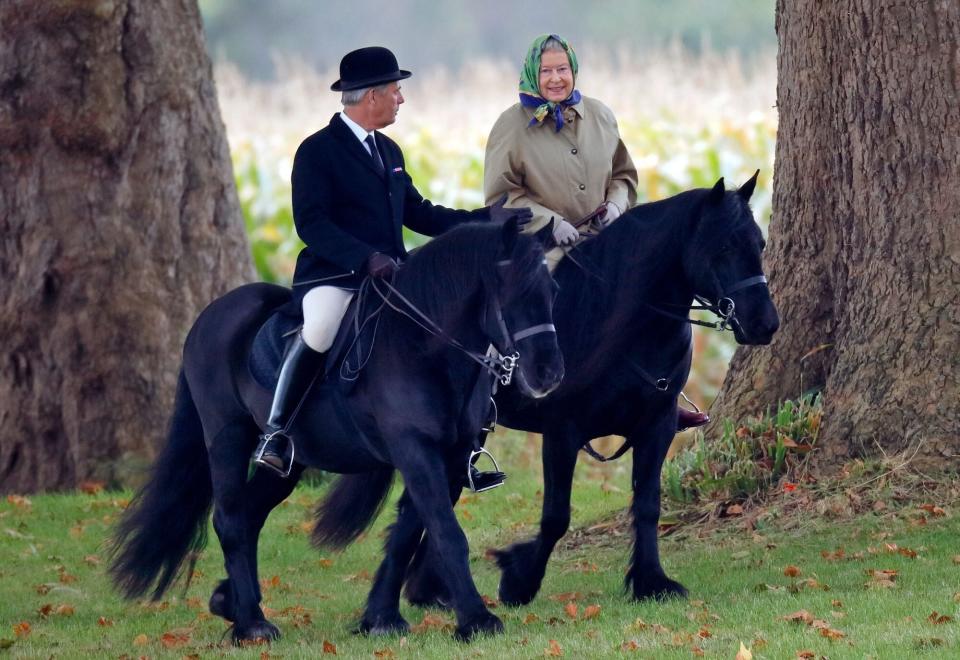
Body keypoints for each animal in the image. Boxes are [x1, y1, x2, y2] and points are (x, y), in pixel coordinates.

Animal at [107, 219, 564, 640]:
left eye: (552, 291)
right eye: (512, 292)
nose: (549, 374)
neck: (423, 348)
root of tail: (210, 315)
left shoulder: (450, 456)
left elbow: (408, 532)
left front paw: (380, 618)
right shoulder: (414, 449)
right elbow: (446, 532)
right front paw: (477, 620)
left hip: (289, 463)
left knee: (251, 514)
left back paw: (231, 603)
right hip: (227, 436)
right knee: (231, 519)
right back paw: (253, 625)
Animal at [394, 174, 784, 608]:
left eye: (759, 243)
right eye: (724, 246)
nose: (765, 323)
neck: (618, 323)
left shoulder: (658, 424)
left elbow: (647, 504)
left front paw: (651, 581)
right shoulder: (562, 432)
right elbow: (555, 516)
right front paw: (519, 580)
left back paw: (429, 587)